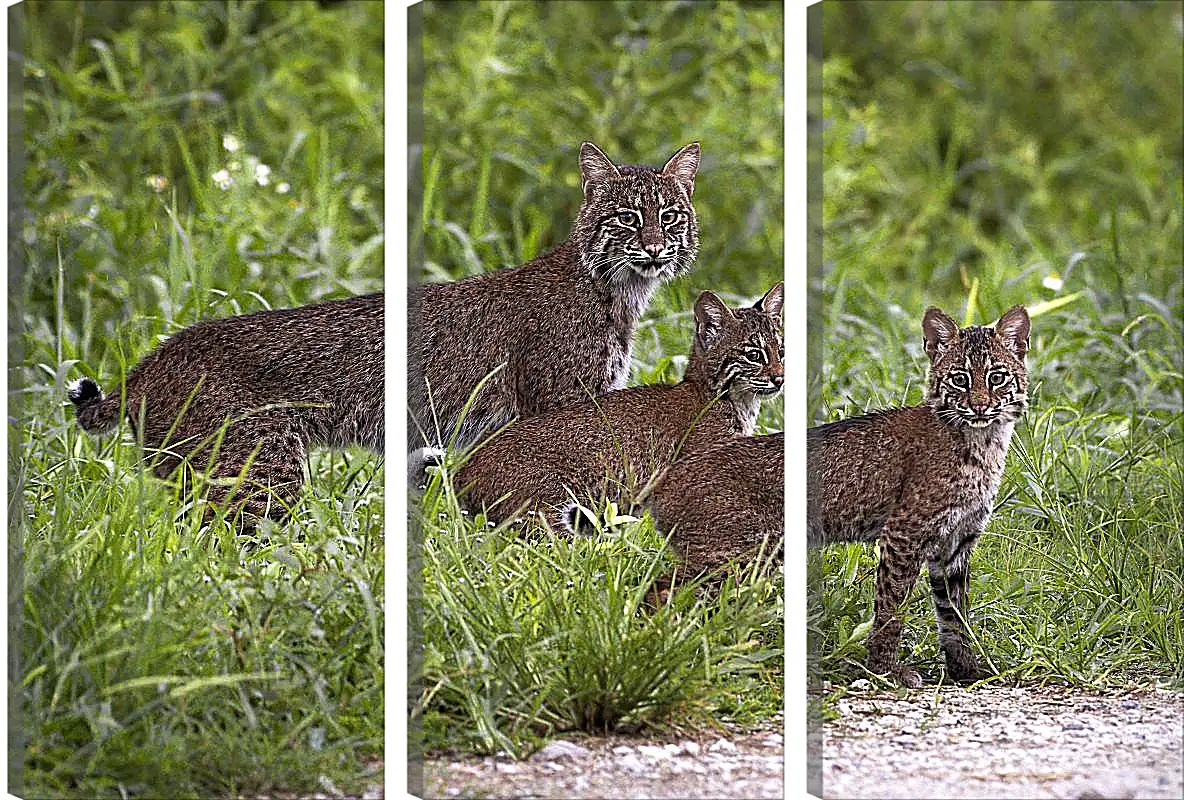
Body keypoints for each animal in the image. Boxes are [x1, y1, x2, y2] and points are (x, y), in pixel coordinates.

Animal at [447, 281, 781, 530]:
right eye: (754, 355)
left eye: (782, 351)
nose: (779, 378)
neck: (736, 401)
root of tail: (463, 466)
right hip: (545, 505)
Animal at [809, 302, 1032, 686]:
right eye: (960, 379)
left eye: (996, 377)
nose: (979, 407)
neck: (984, 441)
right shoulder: (905, 531)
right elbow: (892, 605)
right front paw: (884, 669)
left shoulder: (956, 541)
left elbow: (954, 614)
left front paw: (966, 670)